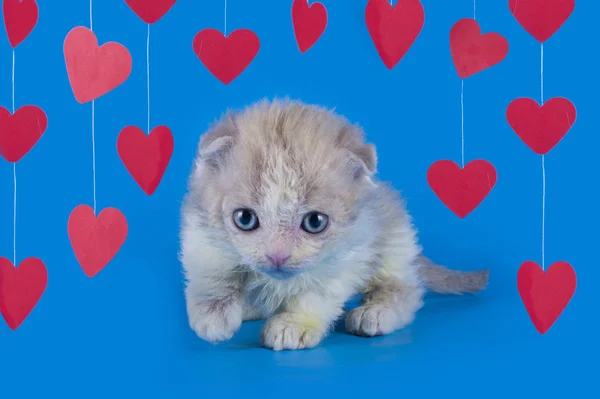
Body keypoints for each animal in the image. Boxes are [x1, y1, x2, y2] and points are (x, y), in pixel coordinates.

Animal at [180, 98, 490, 352]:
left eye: (315, 222)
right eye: (245, 218)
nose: (277, 256)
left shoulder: (352, 251)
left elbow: (318, 292)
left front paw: (294, 324)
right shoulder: (200, 233)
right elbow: (212, 270)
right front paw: (213, 312)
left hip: (394, 240)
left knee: (405, 288)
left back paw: (375, 311)